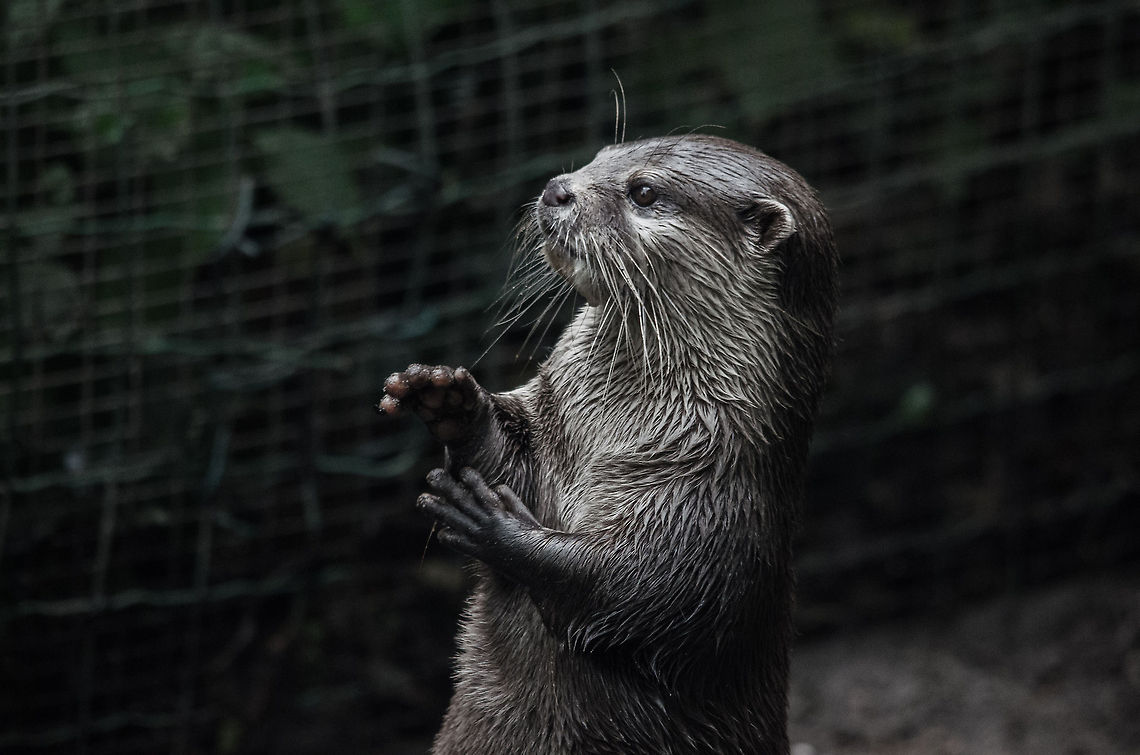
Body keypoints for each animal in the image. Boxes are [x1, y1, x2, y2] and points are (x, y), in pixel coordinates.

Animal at [378, 134, 838, 754]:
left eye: (643, 192)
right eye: (600, 155)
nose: (557, 188)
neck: (616, 420)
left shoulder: (708, 499)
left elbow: (630, 590)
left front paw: (491, 525)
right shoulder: (552, 419)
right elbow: (509, 459)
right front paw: (449, 399)